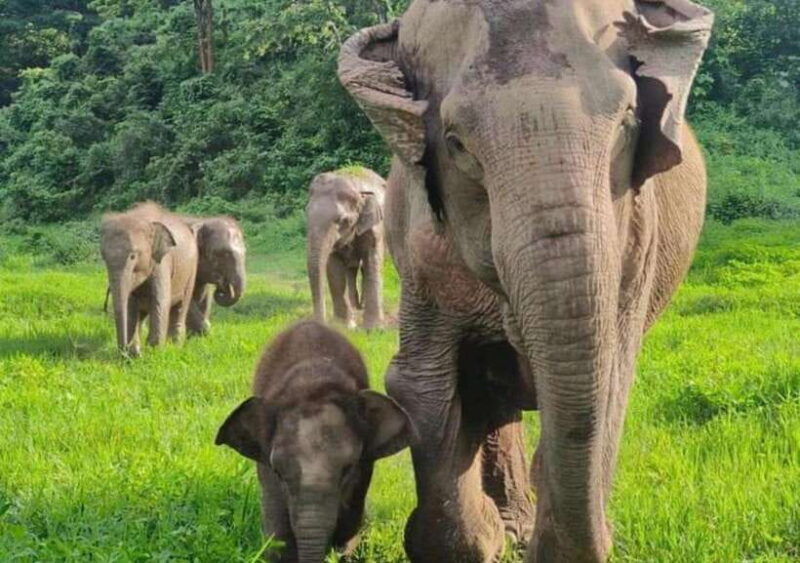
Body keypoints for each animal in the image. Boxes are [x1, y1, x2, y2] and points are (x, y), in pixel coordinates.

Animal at [100, 202, 198, 356]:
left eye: (133, 256)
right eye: (103, 257)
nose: (124, 352)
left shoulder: (162, 262)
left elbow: (160, 301)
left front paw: (154, 353)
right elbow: (130, 304)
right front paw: (134, 353)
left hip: (192, 270)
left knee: (180, 307)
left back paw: (175, 347)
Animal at [306, 168, 386, 329]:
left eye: (343, 220)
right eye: (306, 213)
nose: (321, 324)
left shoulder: (375, 227)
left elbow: (372, 260)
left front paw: (374, 329)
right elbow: (334, 267)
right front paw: (346, 325)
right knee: (351, 270)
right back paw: (355, 307)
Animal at [338, 1, 713, 561]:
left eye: (627, 118)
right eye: (456, 143)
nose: (607, 534)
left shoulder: (636, 243)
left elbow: (611, 375)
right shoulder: (419, 248)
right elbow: (421, 380)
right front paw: (477, 542)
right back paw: (511, 528)